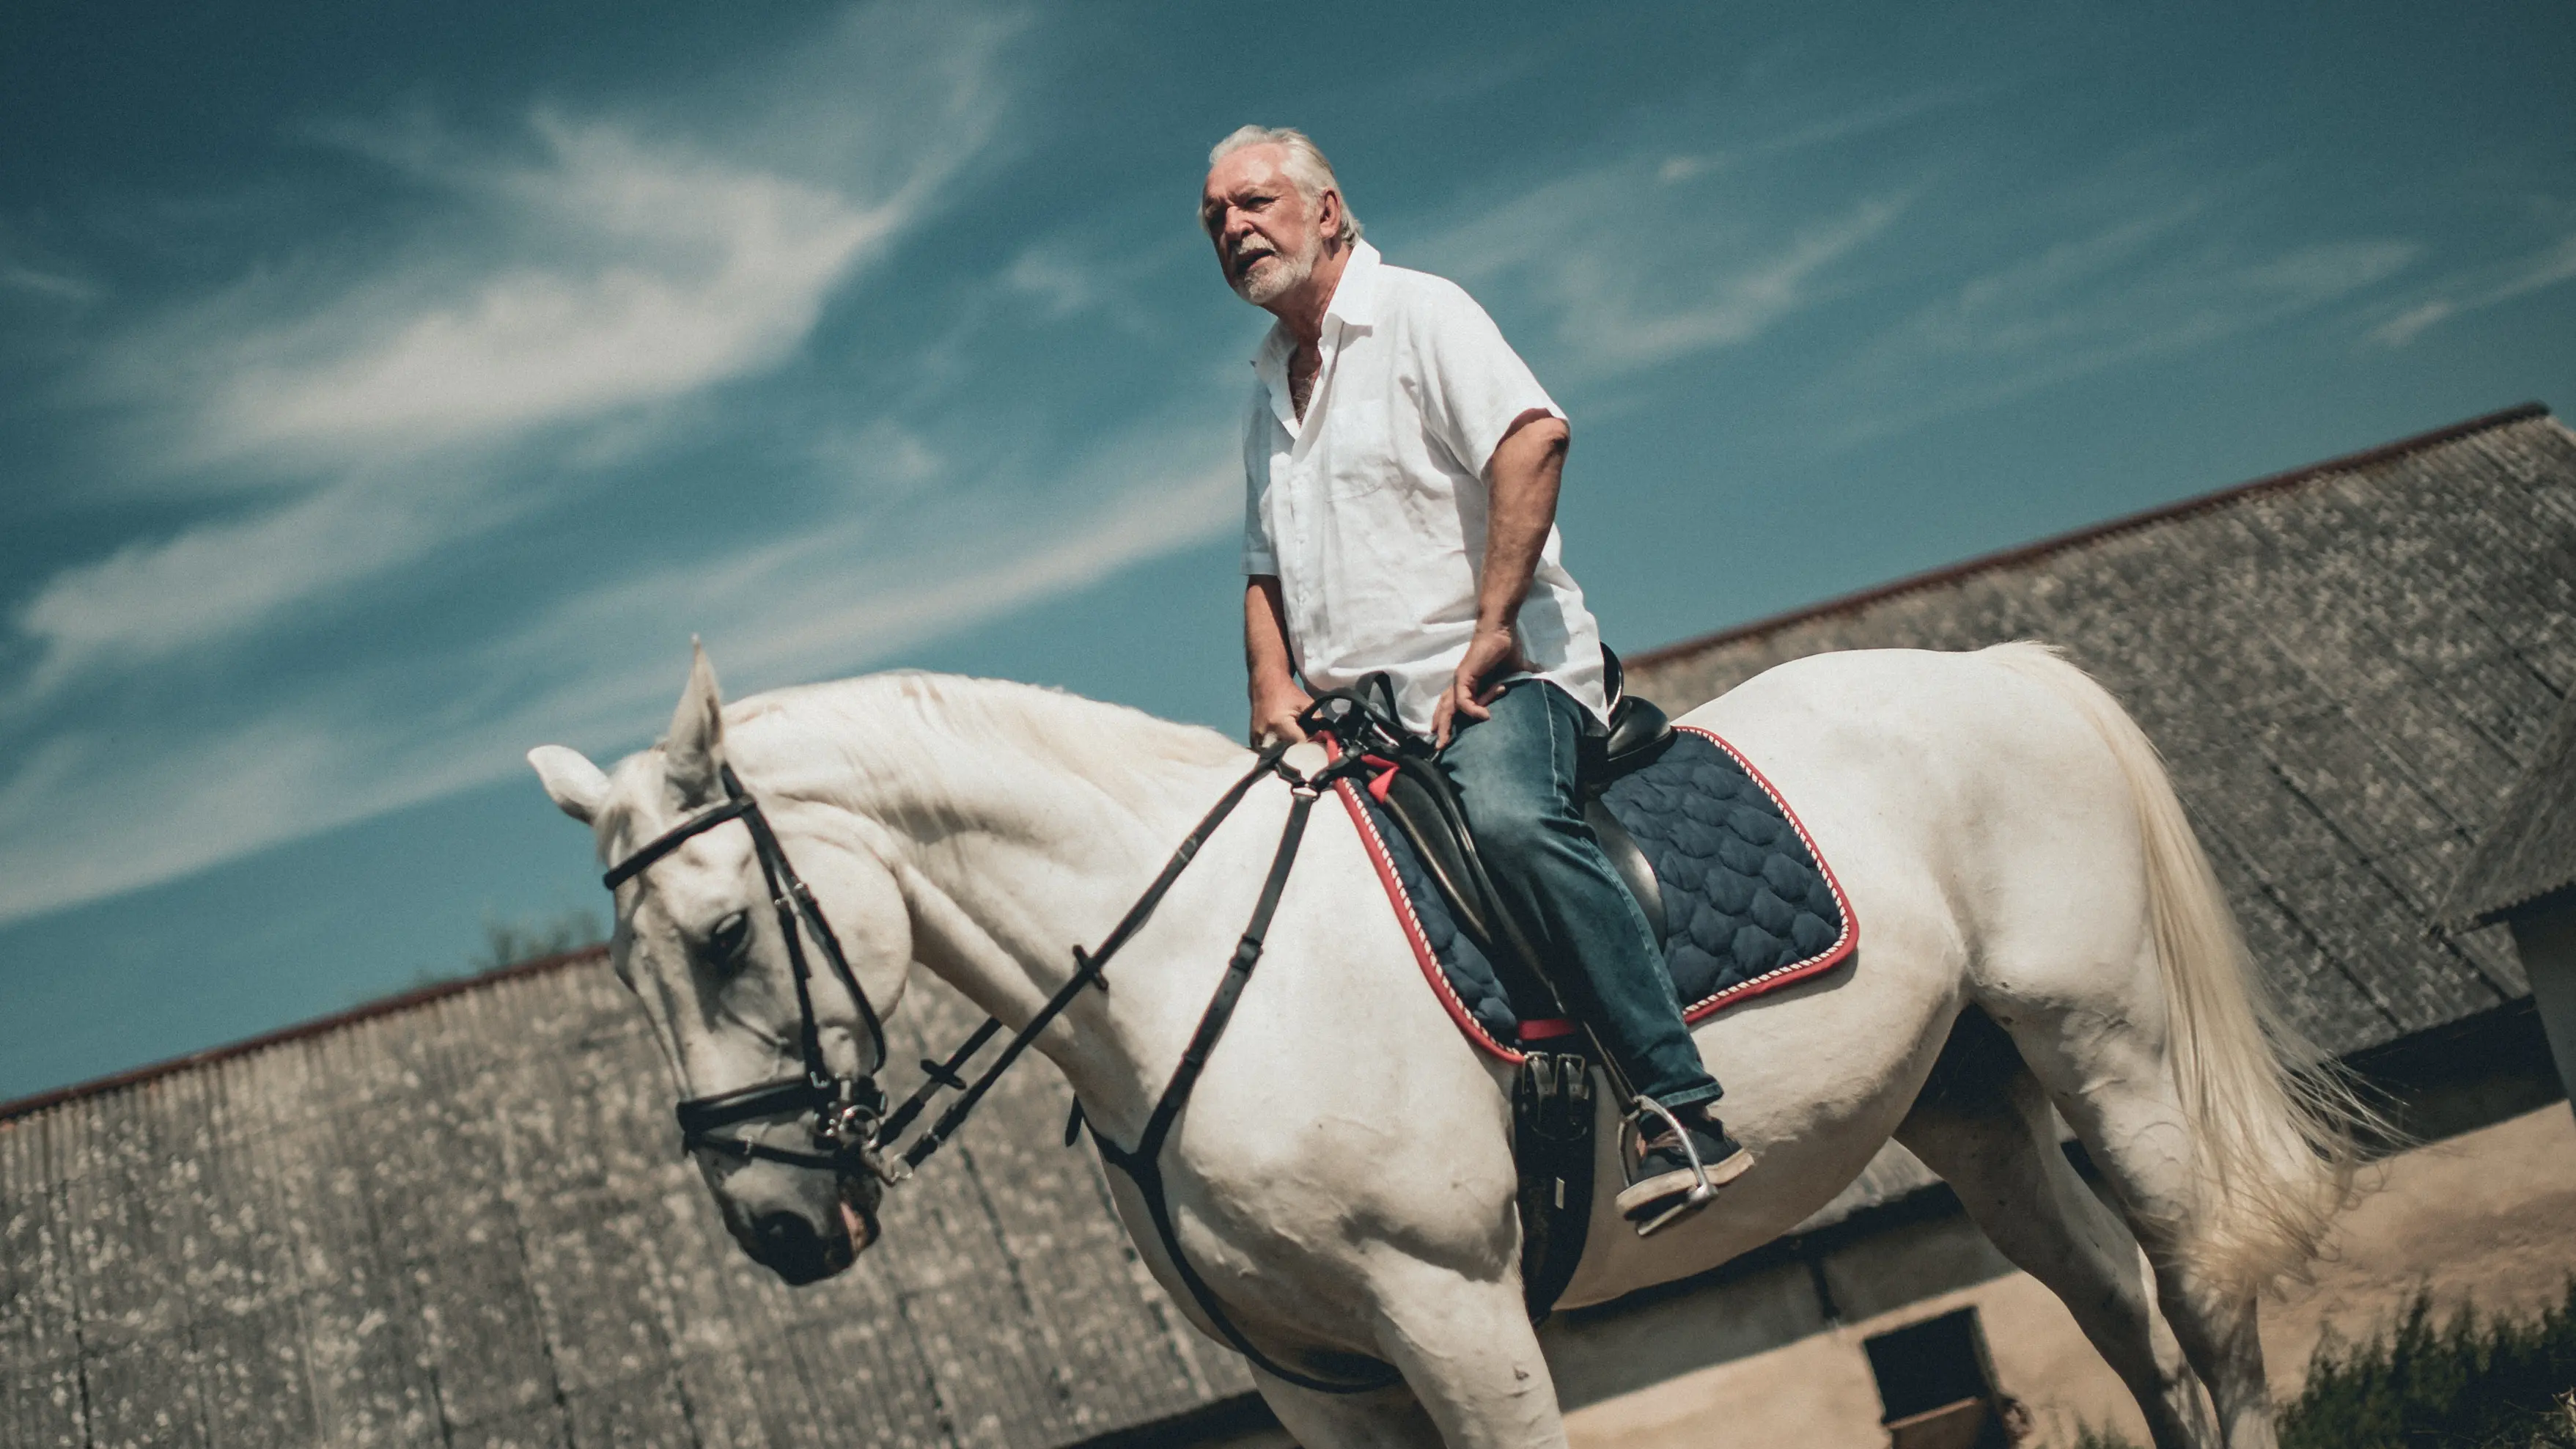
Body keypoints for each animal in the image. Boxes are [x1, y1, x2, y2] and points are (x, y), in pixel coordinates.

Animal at [528, 642, 2369, 1443]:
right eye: (625, 975)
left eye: (722, 934)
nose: (778, 1226)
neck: (1189, 974)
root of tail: (1998, 666)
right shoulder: (1317, 1381)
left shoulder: (1455, 1315)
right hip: (1973, 1105)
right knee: (2122, 1319)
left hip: (2105, 1049)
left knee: (2199, 1294)